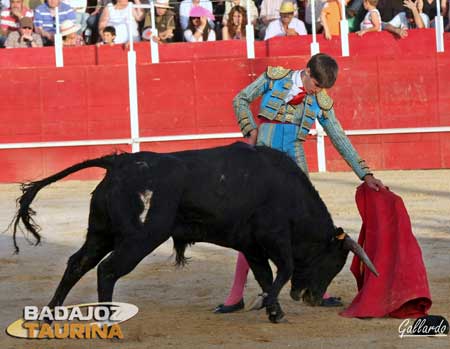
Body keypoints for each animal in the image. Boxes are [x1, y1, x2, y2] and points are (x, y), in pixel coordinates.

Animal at [11, 141, 376, 320]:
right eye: (335, 263)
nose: (312, 299)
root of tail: (120, 162)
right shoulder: (273, 238)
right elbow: (282, 271)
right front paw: (269, 306)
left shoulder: (252, 245)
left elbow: (264, 275)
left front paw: (274, 310)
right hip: (140, 238)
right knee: (107, 270)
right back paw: (107, 318)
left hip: (101, 233)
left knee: (78, 263)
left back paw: (49, 314)